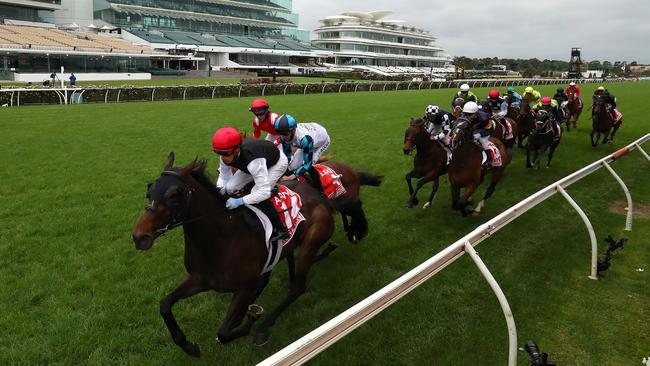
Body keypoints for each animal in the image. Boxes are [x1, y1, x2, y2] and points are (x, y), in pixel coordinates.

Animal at [130, 152, 334, 354]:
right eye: (149, 191)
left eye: (173, 194)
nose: (140, 236)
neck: (221, 241)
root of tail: (316, 192)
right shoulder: (199, 279)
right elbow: (165, 304)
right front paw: (189, 346)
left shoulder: (244, 288)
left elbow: (223, 333)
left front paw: (251, 320)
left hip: (311, 242)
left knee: (297, 288)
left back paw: (264, 326)